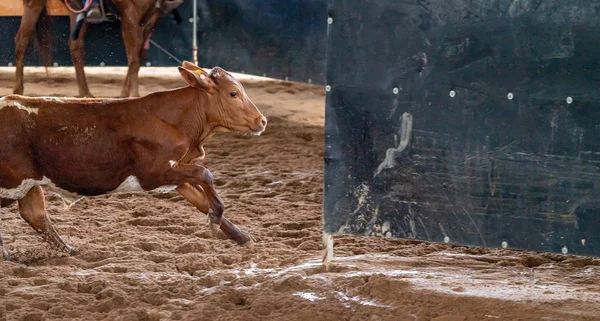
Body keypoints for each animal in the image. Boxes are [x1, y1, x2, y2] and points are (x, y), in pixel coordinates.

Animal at [0, 60, 268, 260]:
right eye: (233, 93)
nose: (262, 120)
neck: (174, 120)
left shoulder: (176, 174)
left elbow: (201, 198)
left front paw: (241, 236)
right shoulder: (154, 174)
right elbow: (205, 174)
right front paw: (215, 218)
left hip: (29, 184)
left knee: (34, 214)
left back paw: (68, 250)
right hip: (13, 183)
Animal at [14, 0, 183, 97]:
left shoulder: (151, 17)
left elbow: (137, 58)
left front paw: (125, 93)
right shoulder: (130, 15)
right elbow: (134, 60)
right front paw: (134, 94)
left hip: (76, 9)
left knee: (75, 45)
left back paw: (85, 93)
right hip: (33, 3)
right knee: (21, 41)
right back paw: (17, 90)